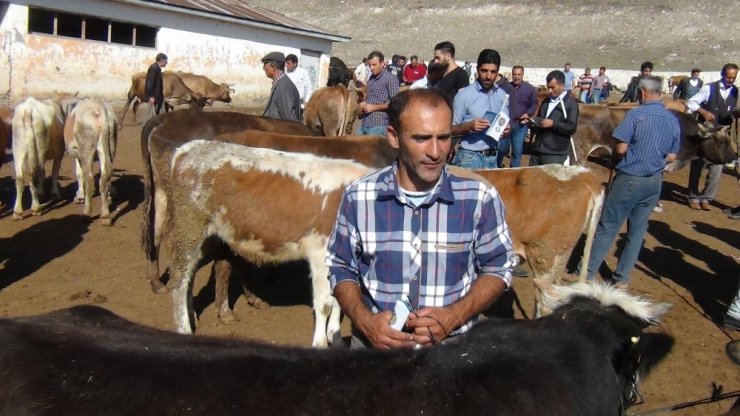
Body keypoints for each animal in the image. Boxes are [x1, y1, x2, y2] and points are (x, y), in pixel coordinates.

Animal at [160, 141, 372, 348]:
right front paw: (320, 344)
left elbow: (338, 301)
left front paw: (336, 341)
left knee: (189, 275)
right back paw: (184, 328)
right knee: (179, 279)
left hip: (205, 236)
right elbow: (324, 304)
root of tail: (189, 148)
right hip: (190, 227)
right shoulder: (320, 253)